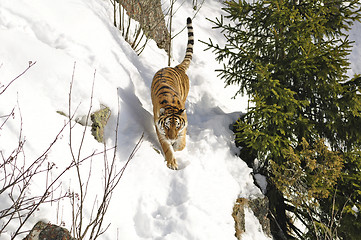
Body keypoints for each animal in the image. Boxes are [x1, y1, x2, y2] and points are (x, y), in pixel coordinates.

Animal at [150, 16, 193, 171]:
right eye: (167, 126)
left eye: (177, 126)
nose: (172, 138)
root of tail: (176, 67)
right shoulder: (160, 130)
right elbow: (167, 148)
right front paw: (172, 163)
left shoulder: (184, 126)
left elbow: (182, 144)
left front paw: (177, 146)